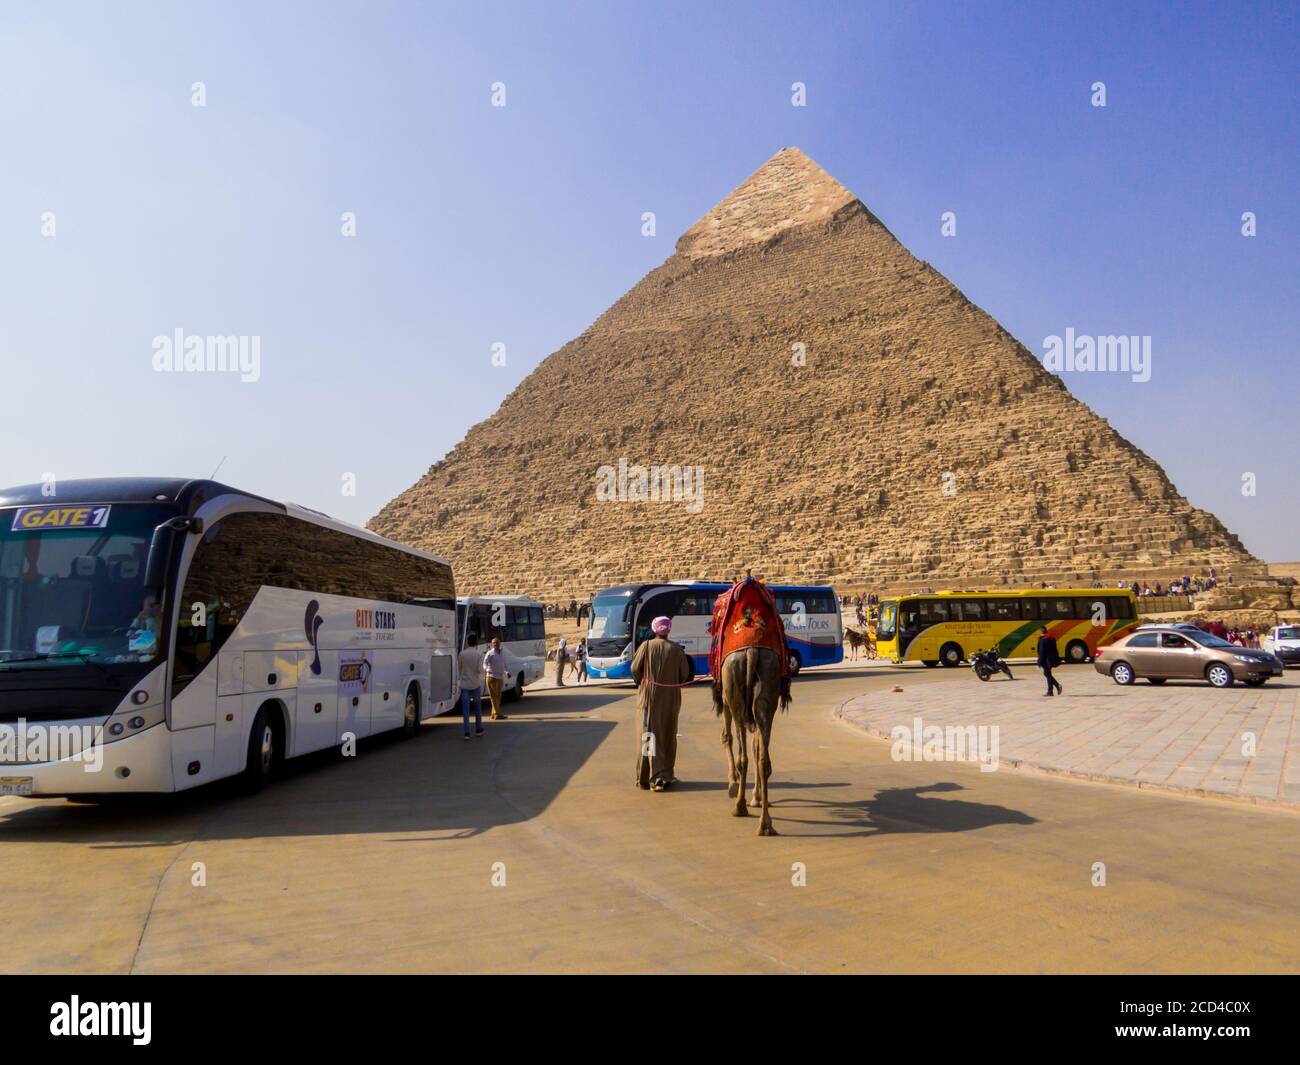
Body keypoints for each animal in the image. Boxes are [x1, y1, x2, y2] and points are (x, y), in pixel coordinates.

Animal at [717, 644, 785, 837]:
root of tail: (752, 651)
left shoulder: (724, 694)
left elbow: (726, 736)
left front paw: (733, 784)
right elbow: (757, 747)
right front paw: (758, 797)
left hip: (733, 686)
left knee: (743, 757)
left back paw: (739, 806)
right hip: (768, 682)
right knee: (764, 760)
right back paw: (766, 824)